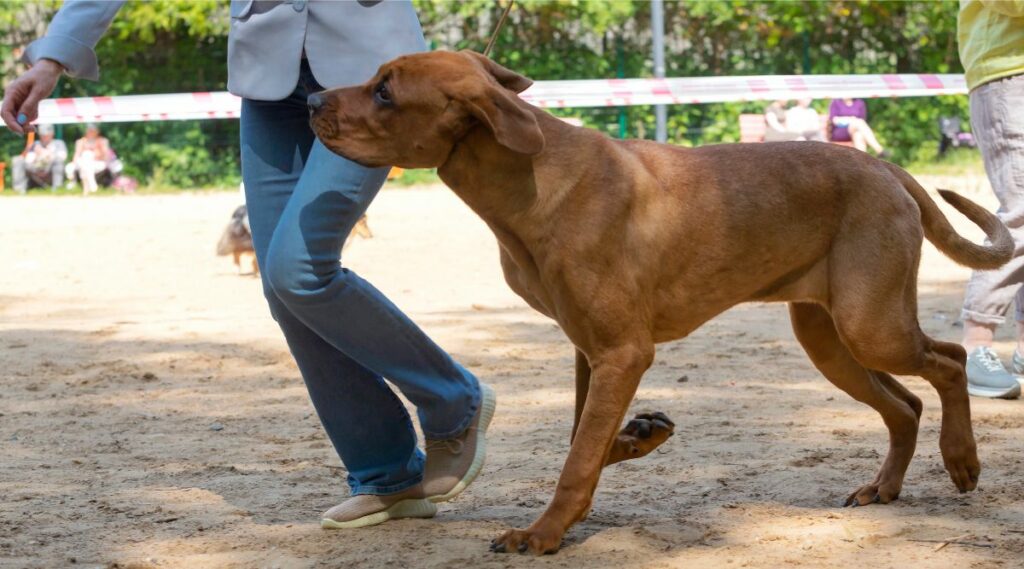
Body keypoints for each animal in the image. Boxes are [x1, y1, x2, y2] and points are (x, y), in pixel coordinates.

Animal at [307, 51, 1011, 552]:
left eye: (385, 91)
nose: (310, 97)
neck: (529, 179)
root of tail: (887, 169)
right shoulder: (590, 350)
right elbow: (584, 437)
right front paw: (638, 436)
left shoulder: (622, 352)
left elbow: (578, 455)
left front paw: (543, 534)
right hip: (828, 337)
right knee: (905, 405)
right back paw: (885, 487)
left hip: (871, 325)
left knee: (947, 362)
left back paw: (963, 461)